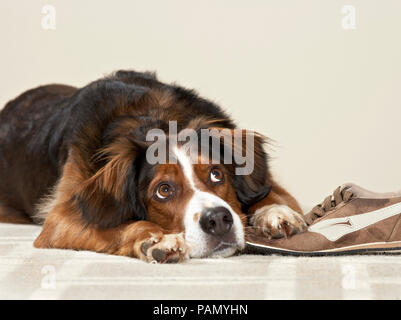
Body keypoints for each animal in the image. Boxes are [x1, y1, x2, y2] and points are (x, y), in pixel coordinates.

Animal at [0, 71, 304, 264]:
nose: (218, 220)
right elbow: (116, 227)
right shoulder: (61, 218)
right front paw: (155, 240)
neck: (153, 121)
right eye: (163, 190)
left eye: (216, 174)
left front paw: (275, 213)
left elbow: (273, 193)